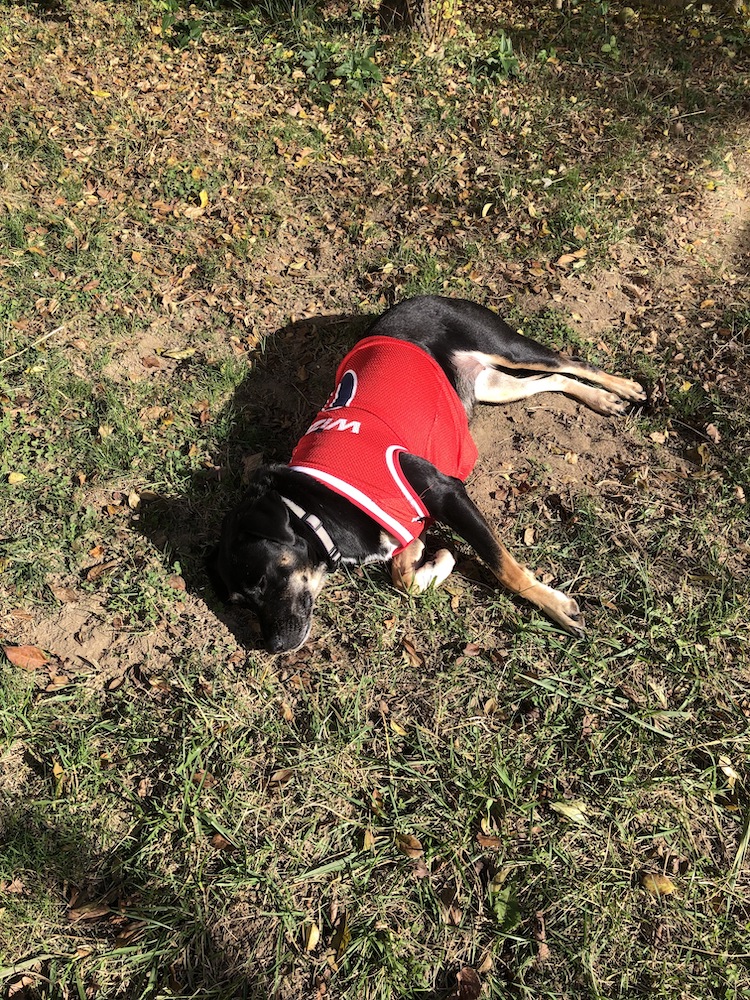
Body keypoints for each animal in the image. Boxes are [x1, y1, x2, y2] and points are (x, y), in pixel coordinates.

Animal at [210, 294, 648, 656]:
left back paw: (622, 387)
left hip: (504, 346)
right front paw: (436, 562)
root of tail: (424, 295)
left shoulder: (446, 492)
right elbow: (405, 576)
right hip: (493, 386)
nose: (273, 647)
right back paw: (602, 399)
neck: (310, 506)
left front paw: (555, 606)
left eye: (262, 582)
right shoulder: (401, 525)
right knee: (552, 380)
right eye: (240, 603)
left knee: (568, 362)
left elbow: (502, 566)